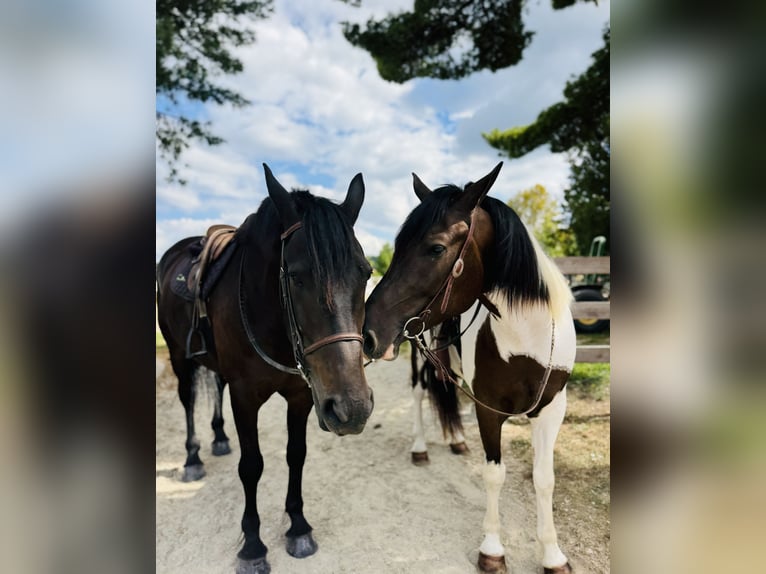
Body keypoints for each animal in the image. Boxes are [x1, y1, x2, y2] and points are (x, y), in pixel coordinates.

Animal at [156, 164, 374, 574]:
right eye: (296, 275)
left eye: (366, 273)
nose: (352, 409)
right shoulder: (245, 397)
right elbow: (252, 466)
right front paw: (253, 545)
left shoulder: (301, 396)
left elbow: (296, 454)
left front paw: (299, 527)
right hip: (179, 357)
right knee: (188, 401)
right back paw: (193, 458)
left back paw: (219, 438)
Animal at [363, 162, 576, 573]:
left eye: (436, 248)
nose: (368, 332)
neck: (527, 339)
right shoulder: (487, 410)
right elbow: (494, 474)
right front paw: (492, 549)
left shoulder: (552, 408)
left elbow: (544, 479)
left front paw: (553, 554)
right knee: (419, 395)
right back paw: (420, 448)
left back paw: (457, 441)